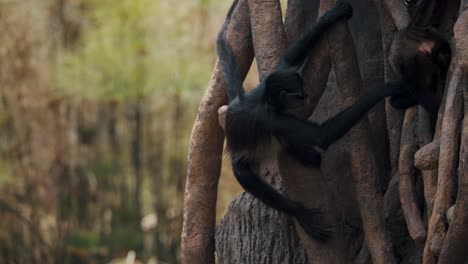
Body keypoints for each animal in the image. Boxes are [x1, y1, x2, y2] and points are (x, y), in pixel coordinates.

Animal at [218, 0, 412, 243]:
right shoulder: (274, 120)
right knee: (242, 169)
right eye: (299, 93)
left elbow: (288, 59)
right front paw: (389, 88)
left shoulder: (267, 86)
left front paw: (333, 15)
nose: (307, 95)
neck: (266, 101)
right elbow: (321, 135)